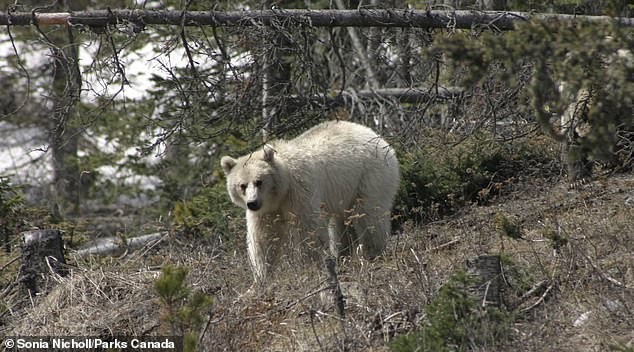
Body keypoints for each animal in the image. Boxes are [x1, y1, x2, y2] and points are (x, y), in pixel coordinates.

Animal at [220, 121, 398, 284]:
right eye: (242, 185)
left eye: (259, 181)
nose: (252, 203)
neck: (281, 192)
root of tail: (378, 137)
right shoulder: (267, 210)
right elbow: (264, 237)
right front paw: (261, 278)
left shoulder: (300, 191)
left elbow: (308, 228)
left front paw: (310, 267)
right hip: (343, 192)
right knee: (340, 224)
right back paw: (342, 255)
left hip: (369, 177)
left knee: (369, 217)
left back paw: (372, 253)